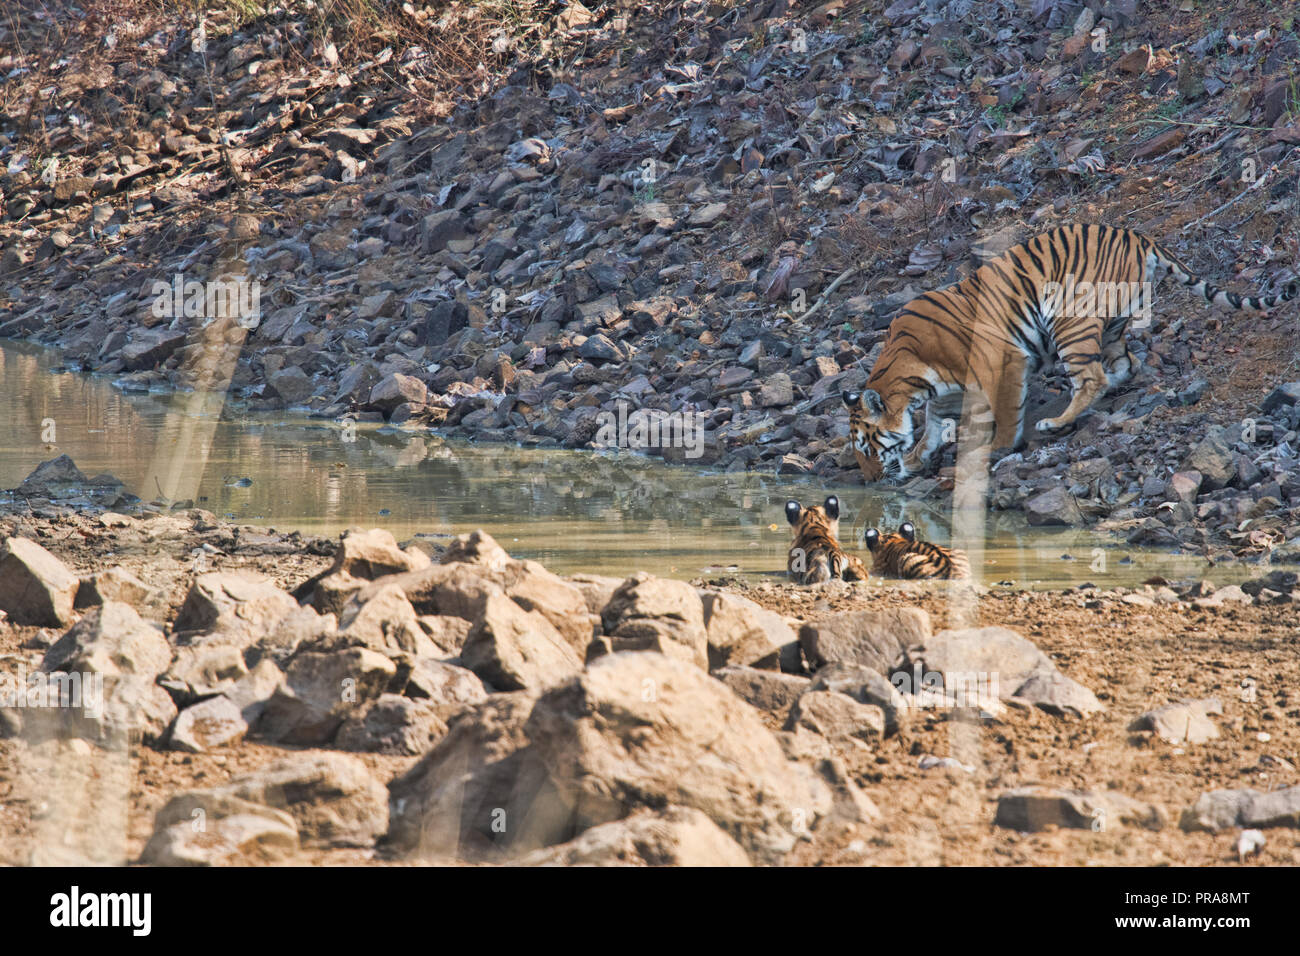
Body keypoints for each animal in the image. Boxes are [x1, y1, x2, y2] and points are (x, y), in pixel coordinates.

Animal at [837, 222, 1294, 478]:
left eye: (867, 447)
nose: (870, 481)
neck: (913, 379)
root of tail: (1137, 235)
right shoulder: (944, 395)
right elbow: (930, 429)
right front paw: (916, 459)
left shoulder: (1004, 361)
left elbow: (1005, 412)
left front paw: (998, 448)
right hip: (1111, 322)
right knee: (1122, 365)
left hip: (1069, 319)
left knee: (1092, 378)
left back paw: (1055, 423)